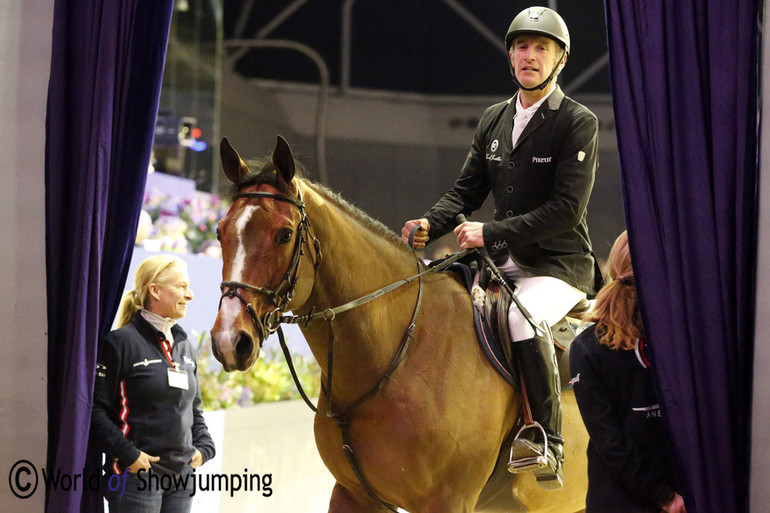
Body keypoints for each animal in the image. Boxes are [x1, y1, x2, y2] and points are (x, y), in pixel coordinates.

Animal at [207, 137, 584, 512]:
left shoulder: (449, 501)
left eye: (284, 235)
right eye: (220, 232)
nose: (229, 341)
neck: (396, 355)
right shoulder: (352, 494)